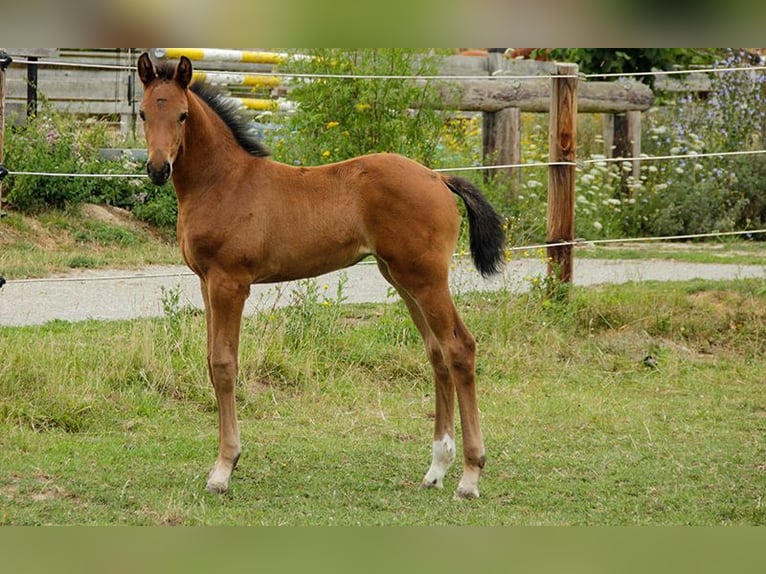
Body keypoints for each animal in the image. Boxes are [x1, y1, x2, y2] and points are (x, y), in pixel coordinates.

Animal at [135, 53, 508, 500]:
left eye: (183, 115)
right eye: (142, 112)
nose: (159, 168)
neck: (223, 183)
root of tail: (438, 177)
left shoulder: (230, 283)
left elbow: (224, 365)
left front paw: (224, 468)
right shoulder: (206, 283)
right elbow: (211, 362)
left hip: (426, 278)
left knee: (459, 348)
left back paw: (469, 476)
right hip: (401, 277)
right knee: (436, 352)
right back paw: (436, 468)